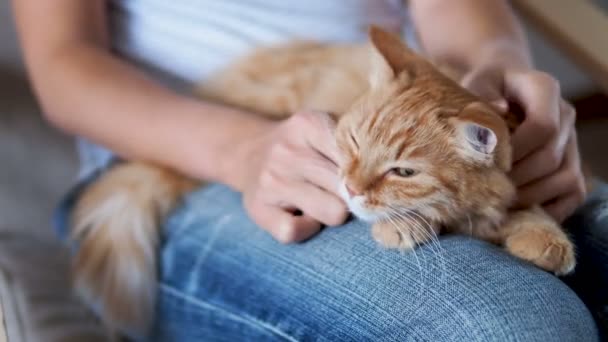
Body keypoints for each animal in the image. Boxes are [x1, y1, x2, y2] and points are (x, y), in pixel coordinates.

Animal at [70, 28, 576, 332]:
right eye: (351, 141)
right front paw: (402, 227)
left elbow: (525, 207)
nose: (351, 187)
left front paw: (544, 239)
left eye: (402, 171)